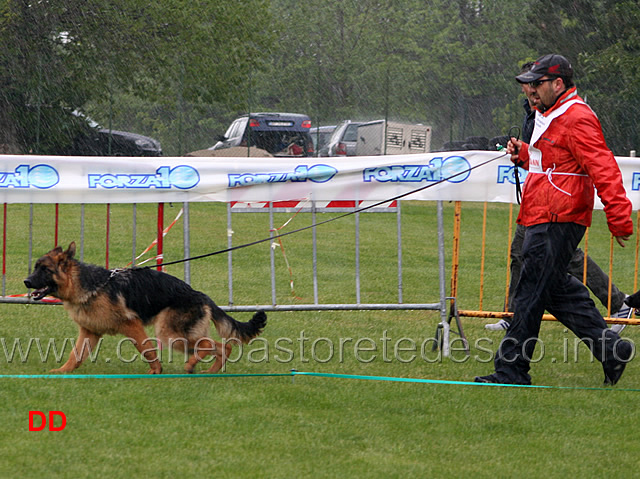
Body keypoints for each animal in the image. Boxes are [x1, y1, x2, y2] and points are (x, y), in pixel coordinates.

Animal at [23, 244, 266, 376]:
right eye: (35, 268)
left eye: (45, 270)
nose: (26, 282)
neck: (87, 285)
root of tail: (200, 295)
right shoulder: (90, 332)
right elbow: (76, 355)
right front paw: (62, 372)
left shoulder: (131, 325)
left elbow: (146, 349)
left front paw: (156, 371)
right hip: (181, 336)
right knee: (223, 346)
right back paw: (209, 371)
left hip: (170, 334)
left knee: (210, 345)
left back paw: (191, 365)